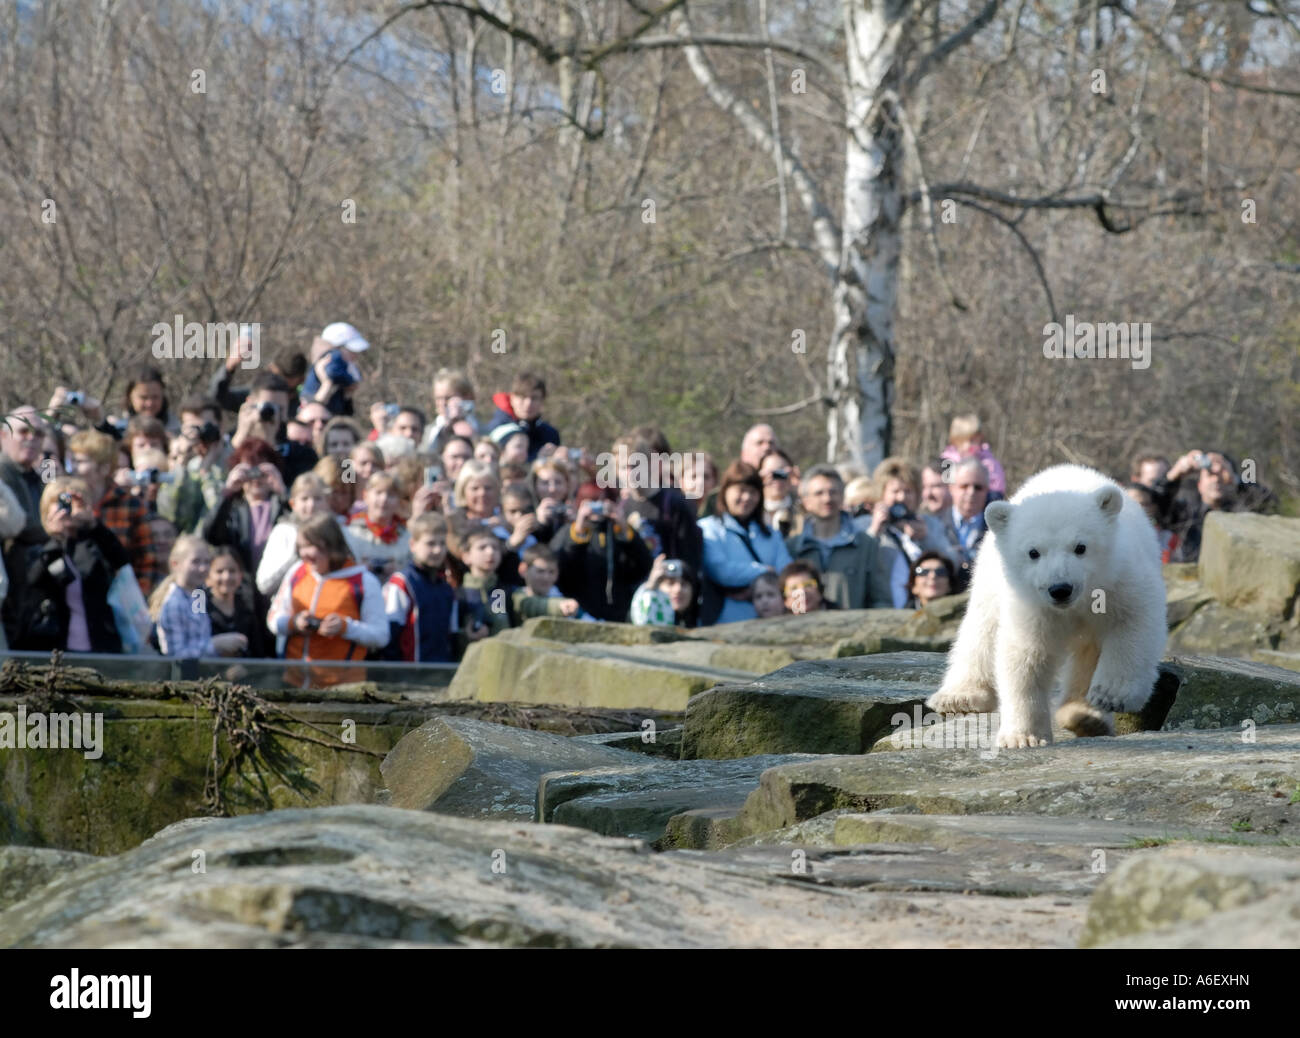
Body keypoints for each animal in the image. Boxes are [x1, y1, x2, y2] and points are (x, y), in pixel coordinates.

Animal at [926, 463, 1166, 748]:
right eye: (1033, 552)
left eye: (1080, 547)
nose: (1060, 589)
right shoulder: (1031, 604)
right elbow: (1027, 655)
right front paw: (1023, 737)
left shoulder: (1121, 579)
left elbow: (1133, 623)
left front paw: (1110, 695)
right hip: (990, 576)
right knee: (981, 629)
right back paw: (959, 696)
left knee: (1088, 651)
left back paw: (1086, 716)